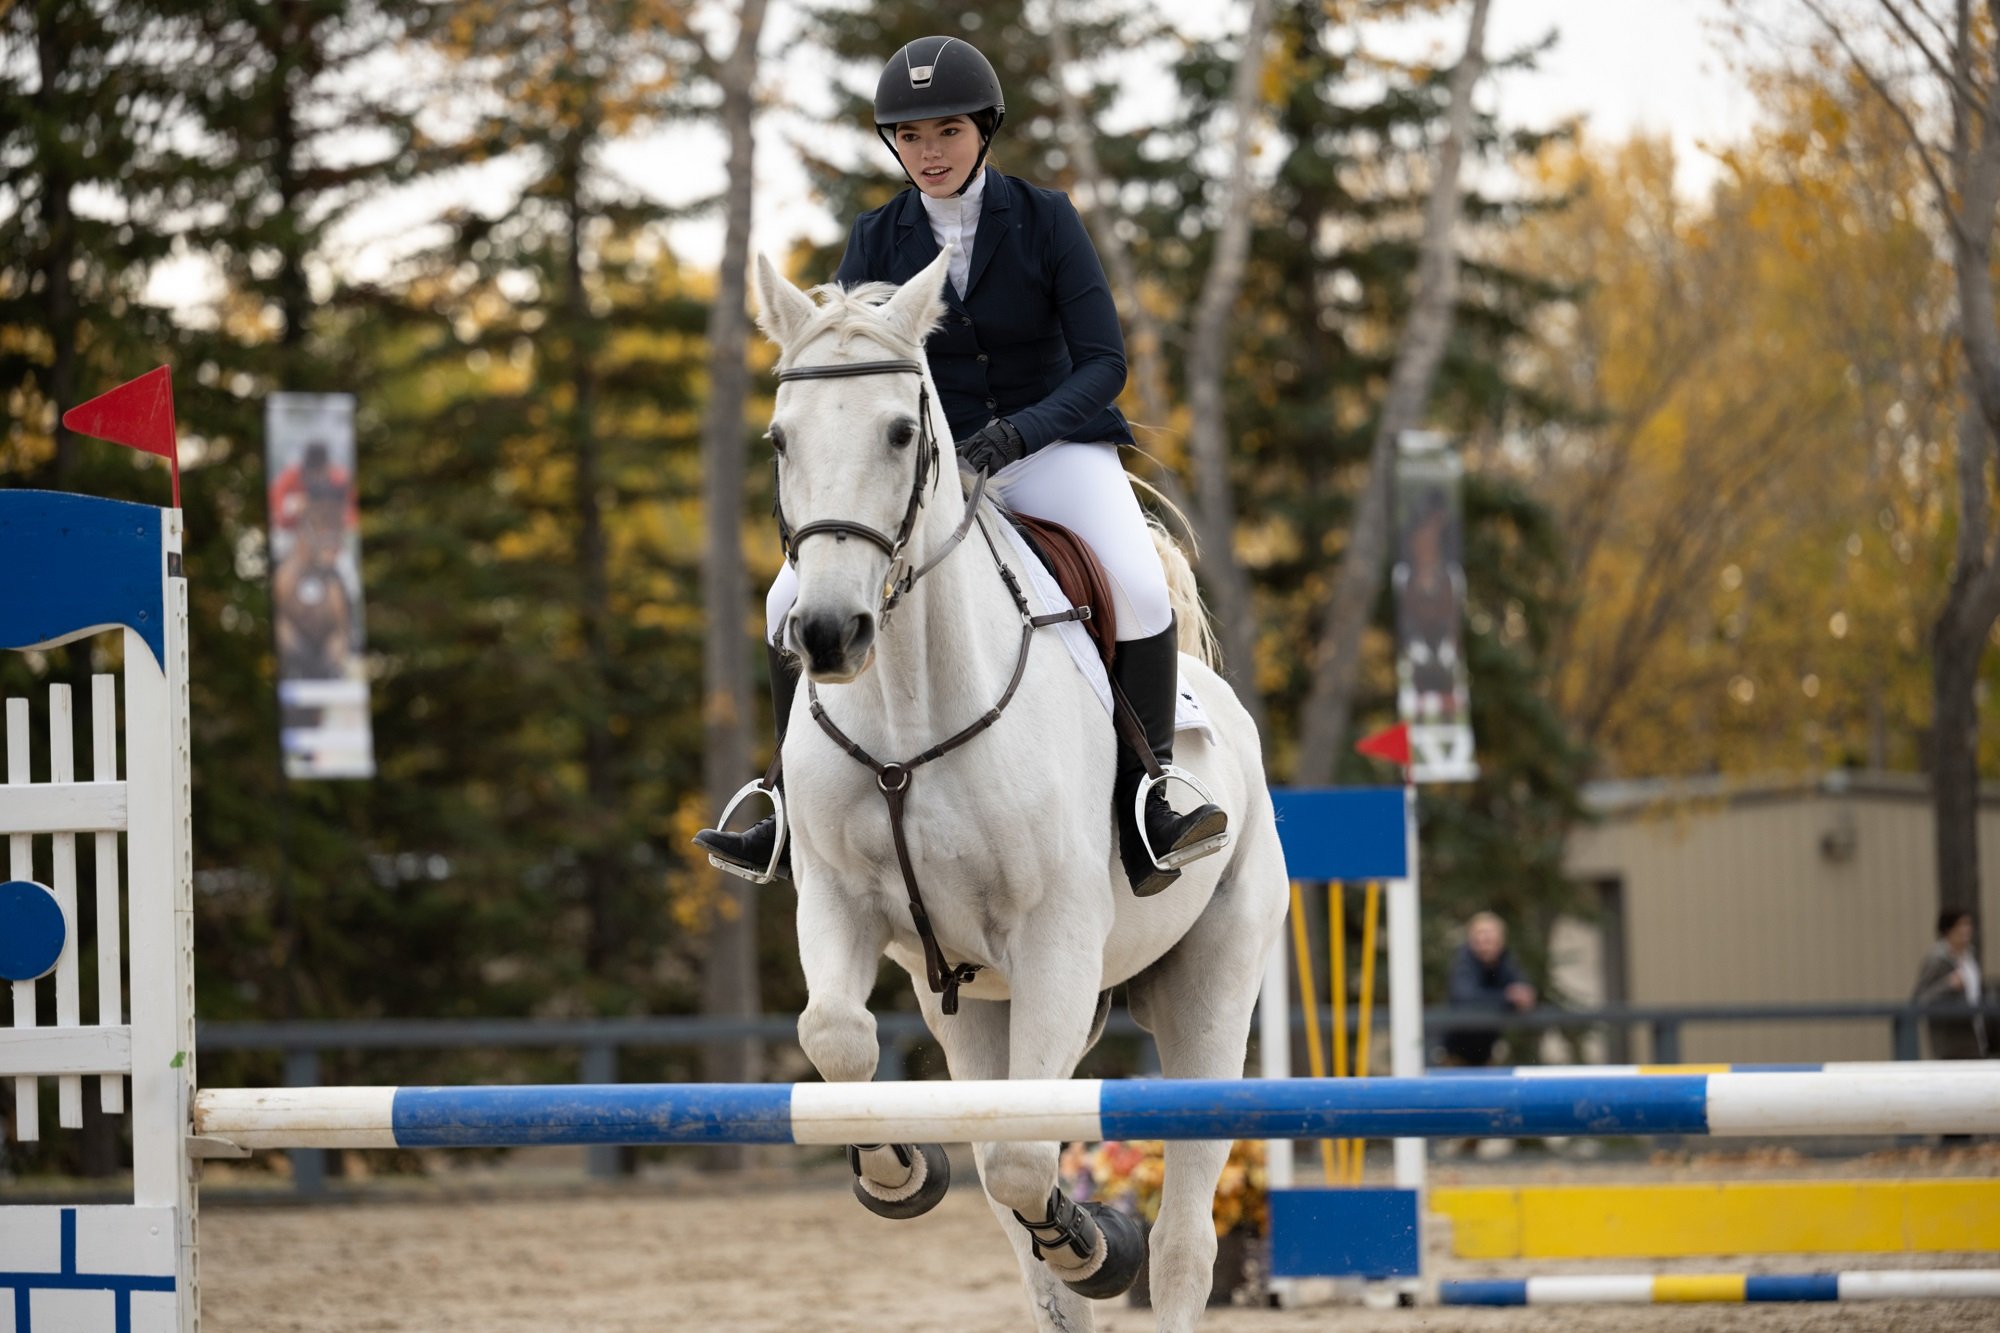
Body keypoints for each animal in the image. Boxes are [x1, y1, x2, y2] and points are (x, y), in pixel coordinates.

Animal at [752, 249, 1296, 1328]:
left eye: (901, 429)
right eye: (781, 438)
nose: (828, 634)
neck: (909, 707)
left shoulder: (1055, 938)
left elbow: (1017, 1159)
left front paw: (1094, 1241)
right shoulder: (837, 903)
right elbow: (836, 1037)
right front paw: (895, 1168)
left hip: (1210, 990)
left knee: (1179, 1241)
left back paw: (1116, 1247)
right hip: (977, 1009)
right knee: (1029, 1231)